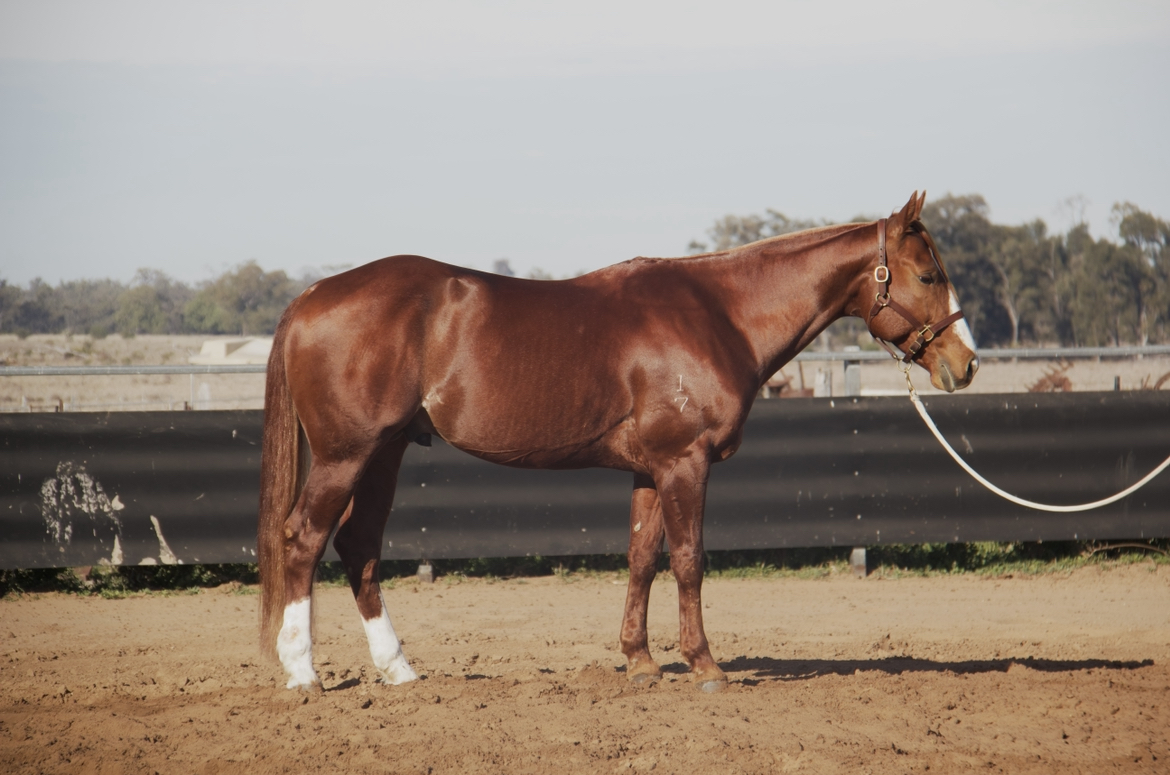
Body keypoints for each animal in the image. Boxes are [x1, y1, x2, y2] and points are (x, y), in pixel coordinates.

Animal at [258, 191, 978, 693]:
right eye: (928, 274)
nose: (966, 364)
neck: (718, 313)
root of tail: (311, 296)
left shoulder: (650, 470)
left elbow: (640, 559)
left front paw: (640, 661)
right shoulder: (685, 463)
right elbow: (687, 560)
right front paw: (705, 665)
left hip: (385, 454)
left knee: (358, 547)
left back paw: (399, 669)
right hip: (347, 456)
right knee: (303, 538)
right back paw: (303, 672)